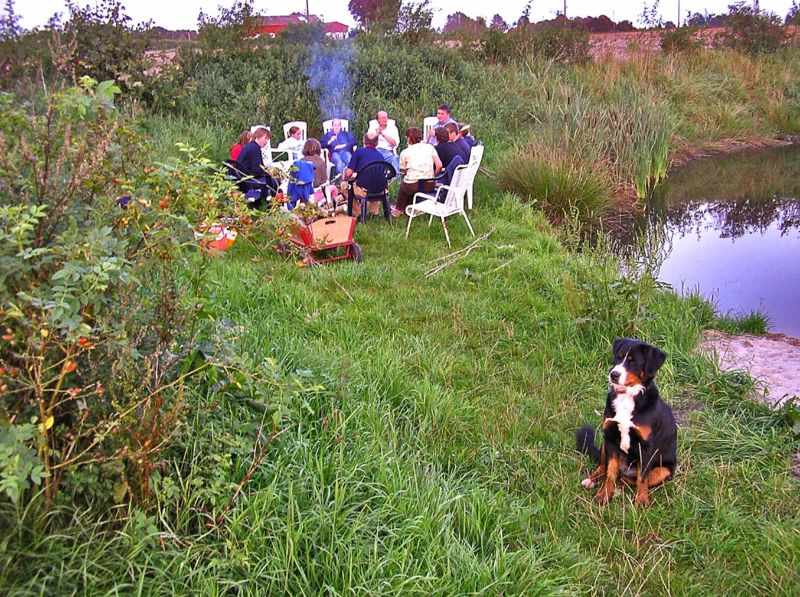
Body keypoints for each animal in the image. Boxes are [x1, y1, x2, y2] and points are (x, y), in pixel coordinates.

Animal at [576, 338, 676, 506]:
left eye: (632, 361)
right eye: (618, 357)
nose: (614, 374)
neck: (627, 396)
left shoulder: (646, 447)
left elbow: (642, 478)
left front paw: (641, 501)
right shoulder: (610, 437)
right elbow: (610, 472)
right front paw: (604, 495)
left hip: (664, 470)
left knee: (630, 480)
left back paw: (620, 489)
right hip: (604, 444)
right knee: (605, 467)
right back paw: (592, 480)